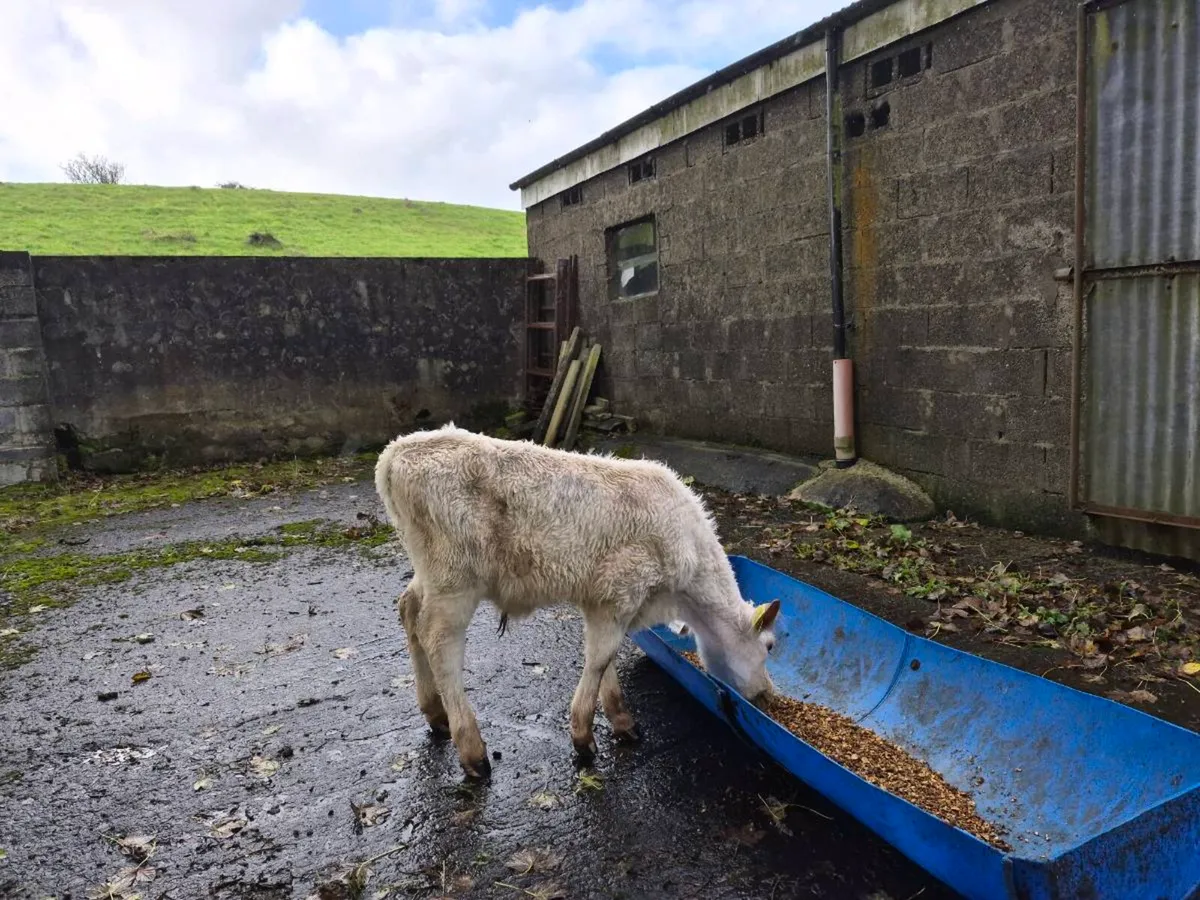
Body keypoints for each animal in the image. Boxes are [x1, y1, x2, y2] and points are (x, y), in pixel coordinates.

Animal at [375, 423, 780, 778]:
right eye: (769, 645)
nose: (765, 695)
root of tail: (397, 451)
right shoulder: (622, 589)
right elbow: (600, 658)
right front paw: (584, 736)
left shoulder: (604, 599)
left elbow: (606, 658)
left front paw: (621, 720)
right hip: (456, 577)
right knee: (439, 641)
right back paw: (471, 750)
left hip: (429, 571)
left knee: (408, 609)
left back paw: (434, 712)